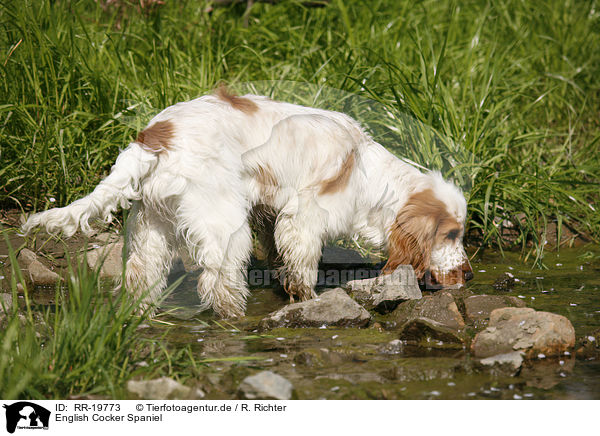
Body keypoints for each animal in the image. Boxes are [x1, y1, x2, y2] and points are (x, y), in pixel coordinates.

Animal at [22, 86, 474, 316]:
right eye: (451, 235)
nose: (469, 275)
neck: (366, 174)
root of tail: (152, 139)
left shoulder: (271, 217)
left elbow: (280, 260)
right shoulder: (302, 221)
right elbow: (302, 269)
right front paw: (311, 304)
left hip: (151, 227)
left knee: (139, 278)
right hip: (224, 226)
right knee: (216, 284)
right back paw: (233, 317)